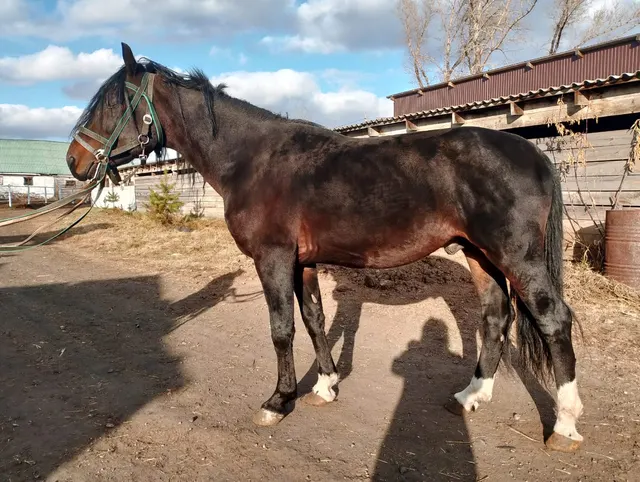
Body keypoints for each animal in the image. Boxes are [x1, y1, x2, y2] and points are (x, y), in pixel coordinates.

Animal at [65, 43, 584, 454]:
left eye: (111, 104)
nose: (74, 162)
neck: (253, 160)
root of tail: (534, 153)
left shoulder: (273, 259)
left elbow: (282, 329)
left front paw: (278, 401)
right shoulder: (303, 264)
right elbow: (314, 320)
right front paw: (326, 386)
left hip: (516, 257)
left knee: (554, 320)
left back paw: (564, 425)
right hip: (480, 255)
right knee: (496, 317)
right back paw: (471, 396)